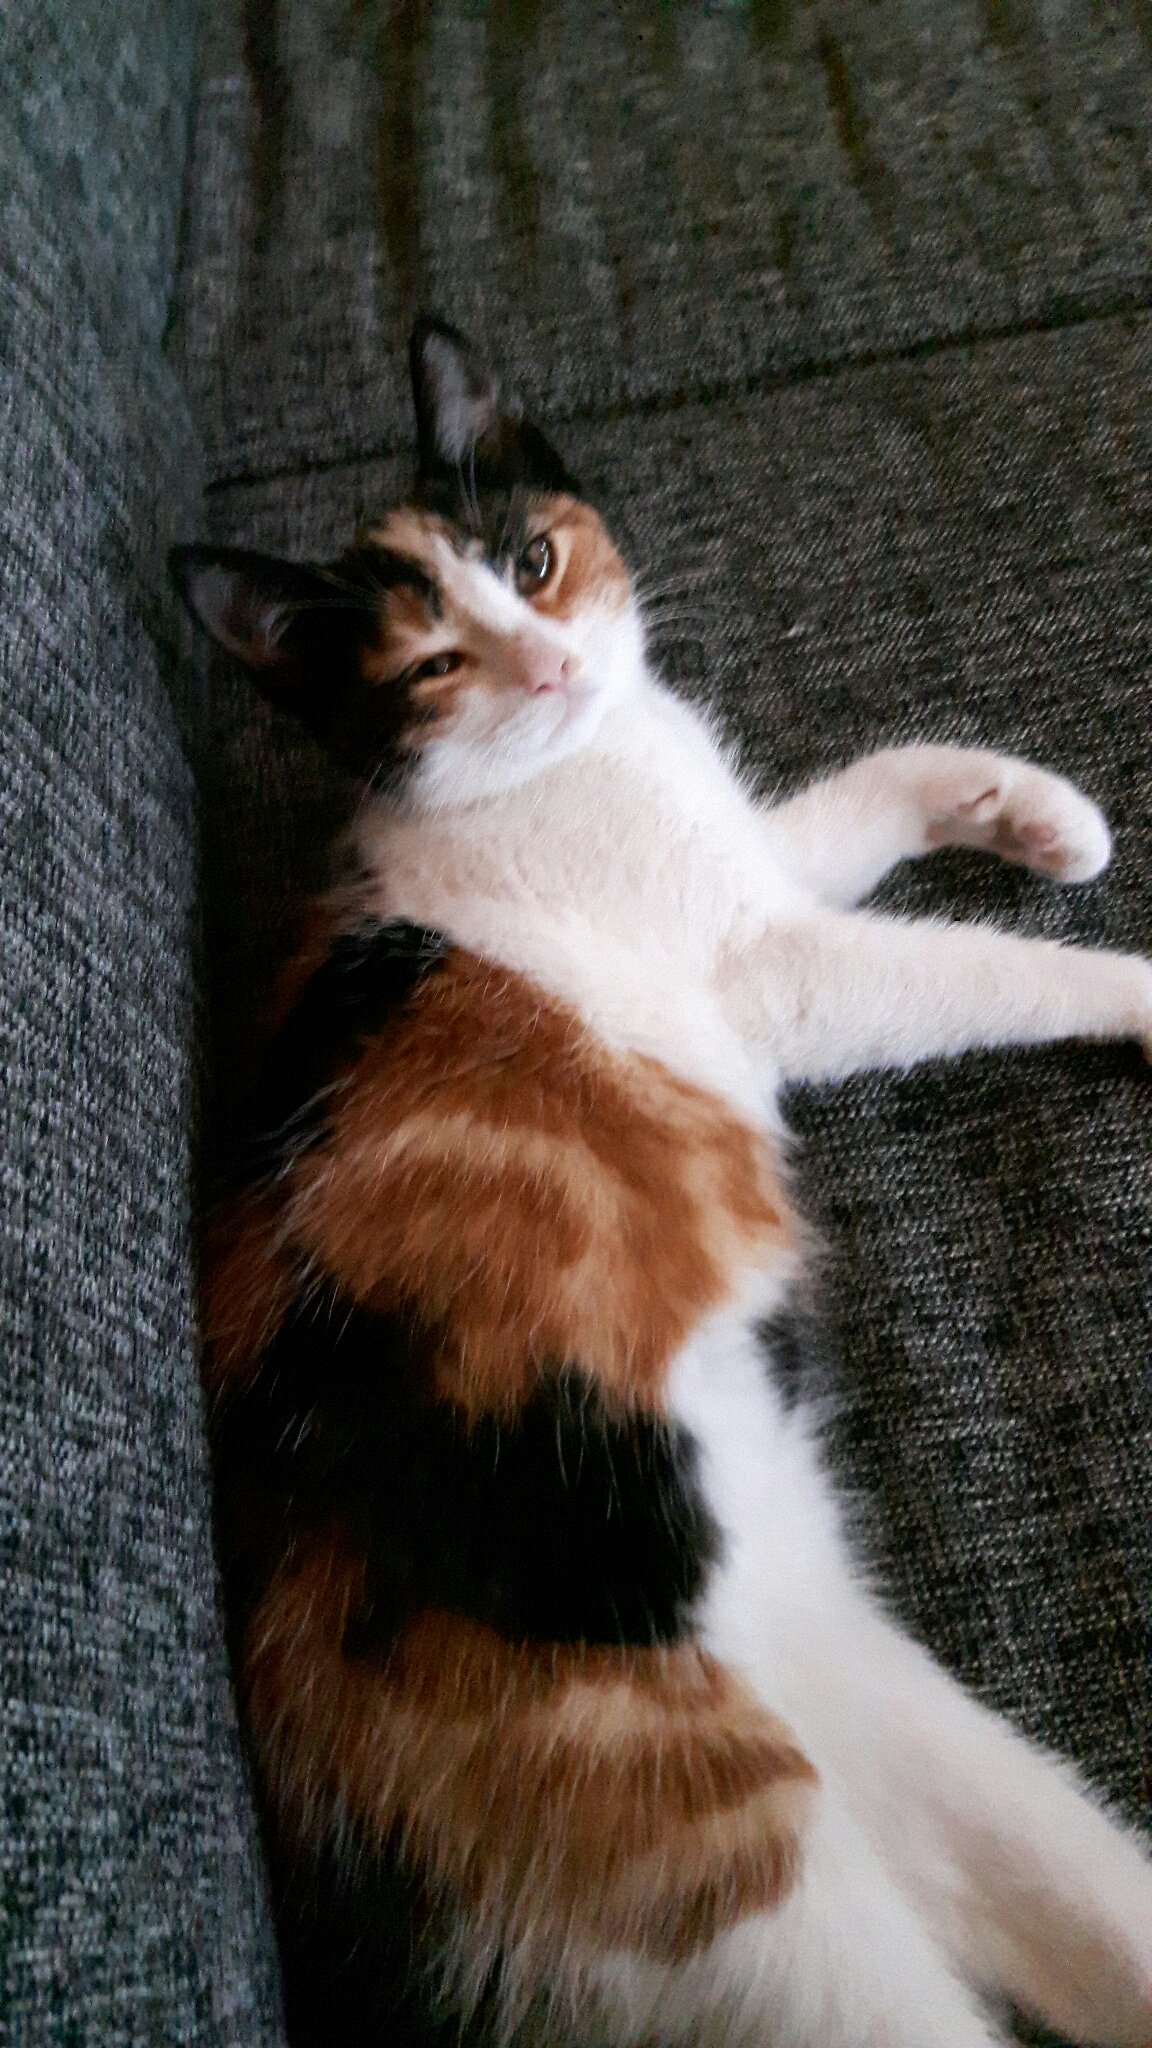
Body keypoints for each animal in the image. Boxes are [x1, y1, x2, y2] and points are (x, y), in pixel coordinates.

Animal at [174, 316, 1152, 2048]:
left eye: (533, 561)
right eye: (431, 666)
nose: (554, 670)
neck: (580, 765)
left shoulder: (751, 866)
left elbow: (850, 799)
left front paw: (1031, 808)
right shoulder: (769, 973)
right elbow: (959, 968)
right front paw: (1139, 983)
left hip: (933, 1740)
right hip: (737, 1877)